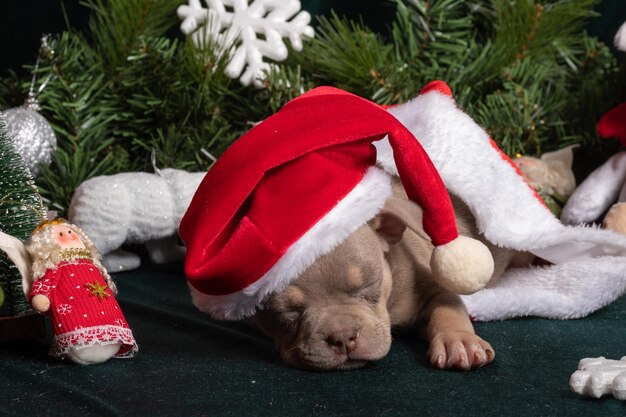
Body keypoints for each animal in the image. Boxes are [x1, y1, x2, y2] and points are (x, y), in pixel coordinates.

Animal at [251, 179, 528, 370]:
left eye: (369, 286)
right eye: (286, 313)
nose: (342, 337)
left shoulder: (434, 288)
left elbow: (447, 309)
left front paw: (459, 341)